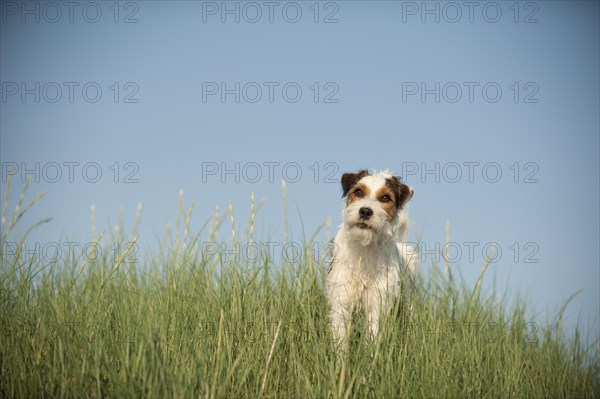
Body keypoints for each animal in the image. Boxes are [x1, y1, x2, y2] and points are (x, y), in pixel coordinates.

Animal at [326, 170, 414, 346]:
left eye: (385, 198)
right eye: (359, 192)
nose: (365, 211)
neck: (364, 247)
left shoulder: (377, 303)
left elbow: (372, 336)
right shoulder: (341, 300)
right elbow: (340, 338)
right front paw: (339, 355)